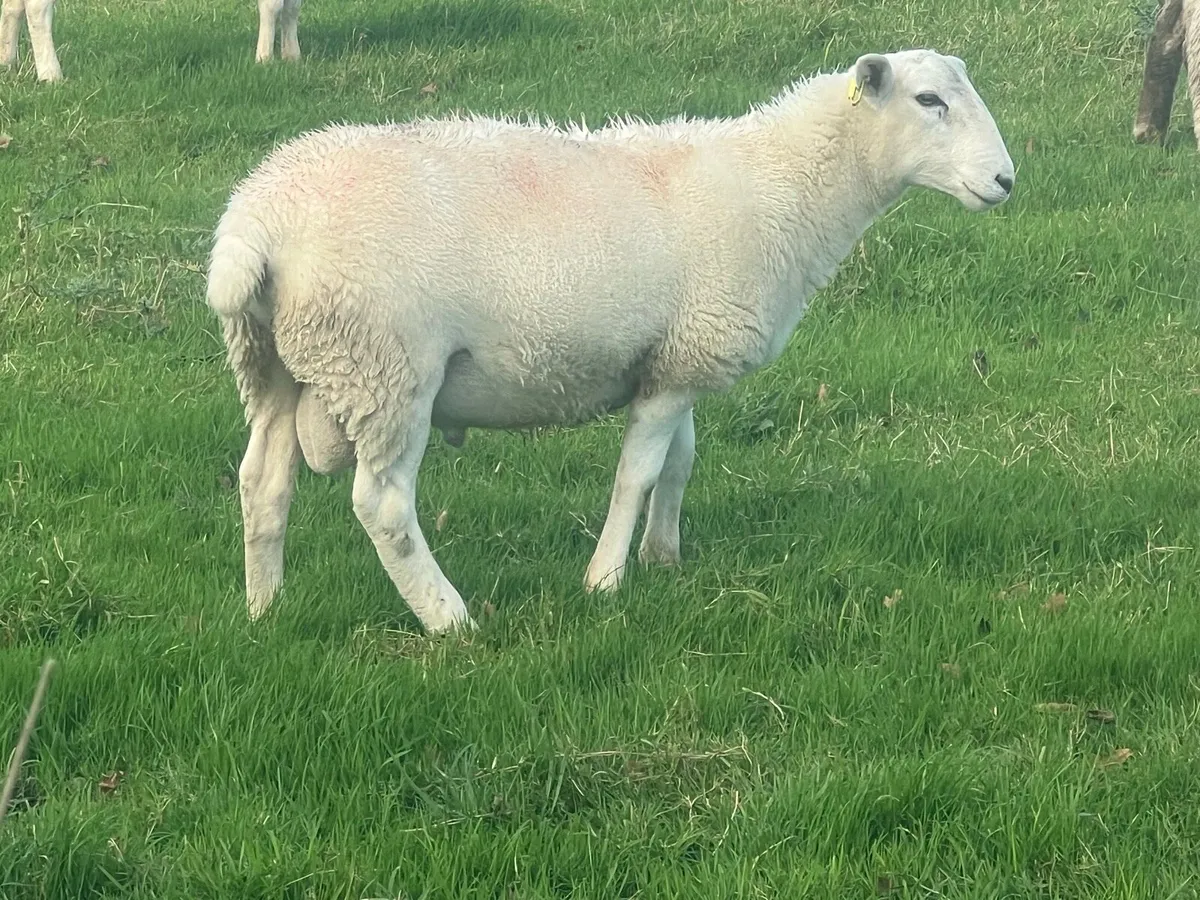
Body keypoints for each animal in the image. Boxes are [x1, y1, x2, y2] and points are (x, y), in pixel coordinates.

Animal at [207, 49, 1015, 634]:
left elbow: (680, 464)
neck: (782, 187)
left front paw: (665, 558)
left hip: (277, 359)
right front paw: (605, 581)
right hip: (386, 363)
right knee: (382, 504)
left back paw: (264, 608)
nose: (1007, 180)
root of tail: (257, 219)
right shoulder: (682, 360)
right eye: (929, 101)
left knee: (261, 482)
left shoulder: (677, 358)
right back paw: (450, 619)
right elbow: (636, 474)